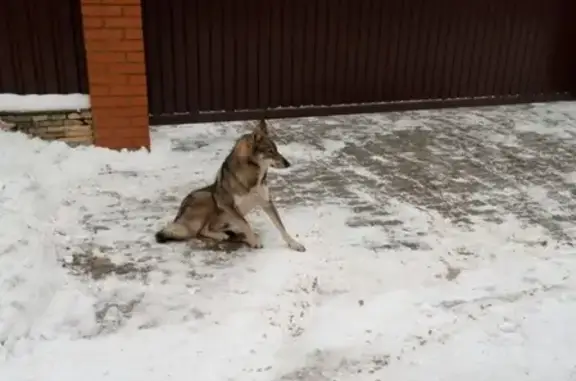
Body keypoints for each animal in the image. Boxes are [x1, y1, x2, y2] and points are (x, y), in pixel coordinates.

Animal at [153, 117, 306, 251]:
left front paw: (294, 244)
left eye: (277, 150)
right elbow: (245, 223)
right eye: (270, 151)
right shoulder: (226, 204)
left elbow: (281, 227)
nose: (288, 163)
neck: (254, 177)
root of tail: (178, 218)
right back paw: (224, 235)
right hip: (208, 198)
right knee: (199, 231)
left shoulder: (266, 202)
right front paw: (254, 242)